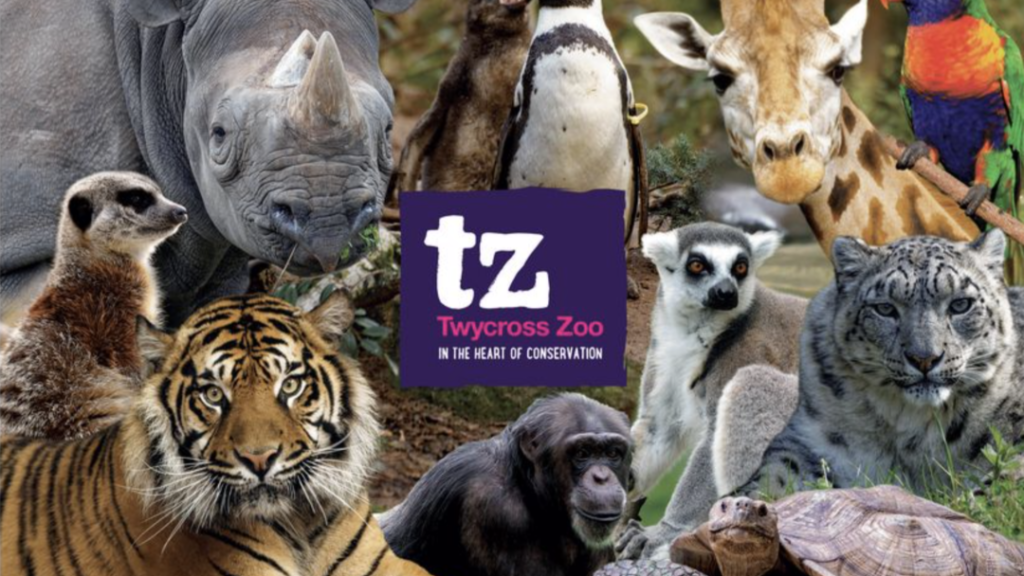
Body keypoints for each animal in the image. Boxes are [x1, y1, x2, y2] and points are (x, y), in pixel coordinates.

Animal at [717, 230, 1024, 498]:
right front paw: (737, 505)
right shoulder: (811, 438)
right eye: (885, 308)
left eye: (961, 305)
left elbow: (1004, 477)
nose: (924, 358)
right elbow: (777, 472)